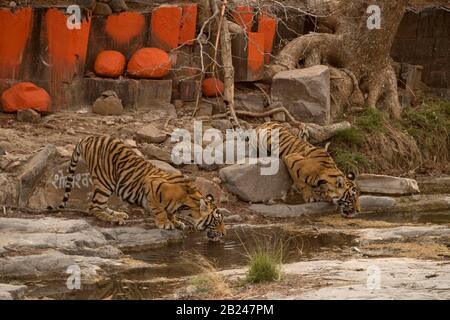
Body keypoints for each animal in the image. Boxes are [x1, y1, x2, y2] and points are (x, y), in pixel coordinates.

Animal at [46, 134, 225, 240]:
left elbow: (170, 212)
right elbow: (159, 209)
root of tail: (89, 137)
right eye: (216, 221)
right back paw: (114, 219)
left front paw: (176, 221)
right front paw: (165, 223)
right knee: (93, 207)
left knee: (99, 205)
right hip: (105, 181)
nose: (224, 234)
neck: (188, 203)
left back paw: (118, 213)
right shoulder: (152, 185)